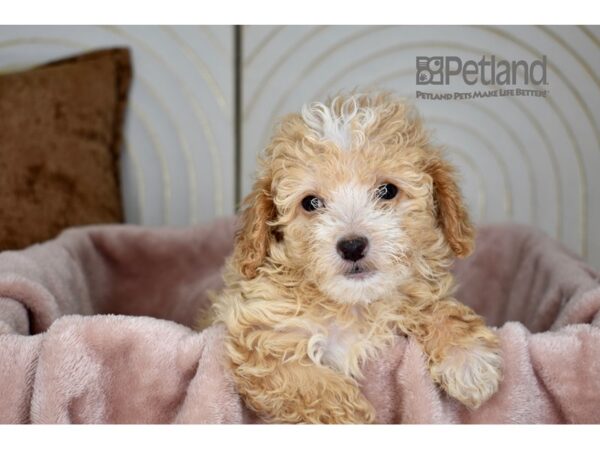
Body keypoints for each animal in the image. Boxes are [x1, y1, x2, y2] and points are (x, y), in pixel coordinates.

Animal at [213, 92, 504, 426]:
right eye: (311, 203)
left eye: (387, 190)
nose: (352, 246)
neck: (354, 306)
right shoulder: (260, 339)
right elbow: (312, 385)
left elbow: (437, 307)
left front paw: (468, 358)